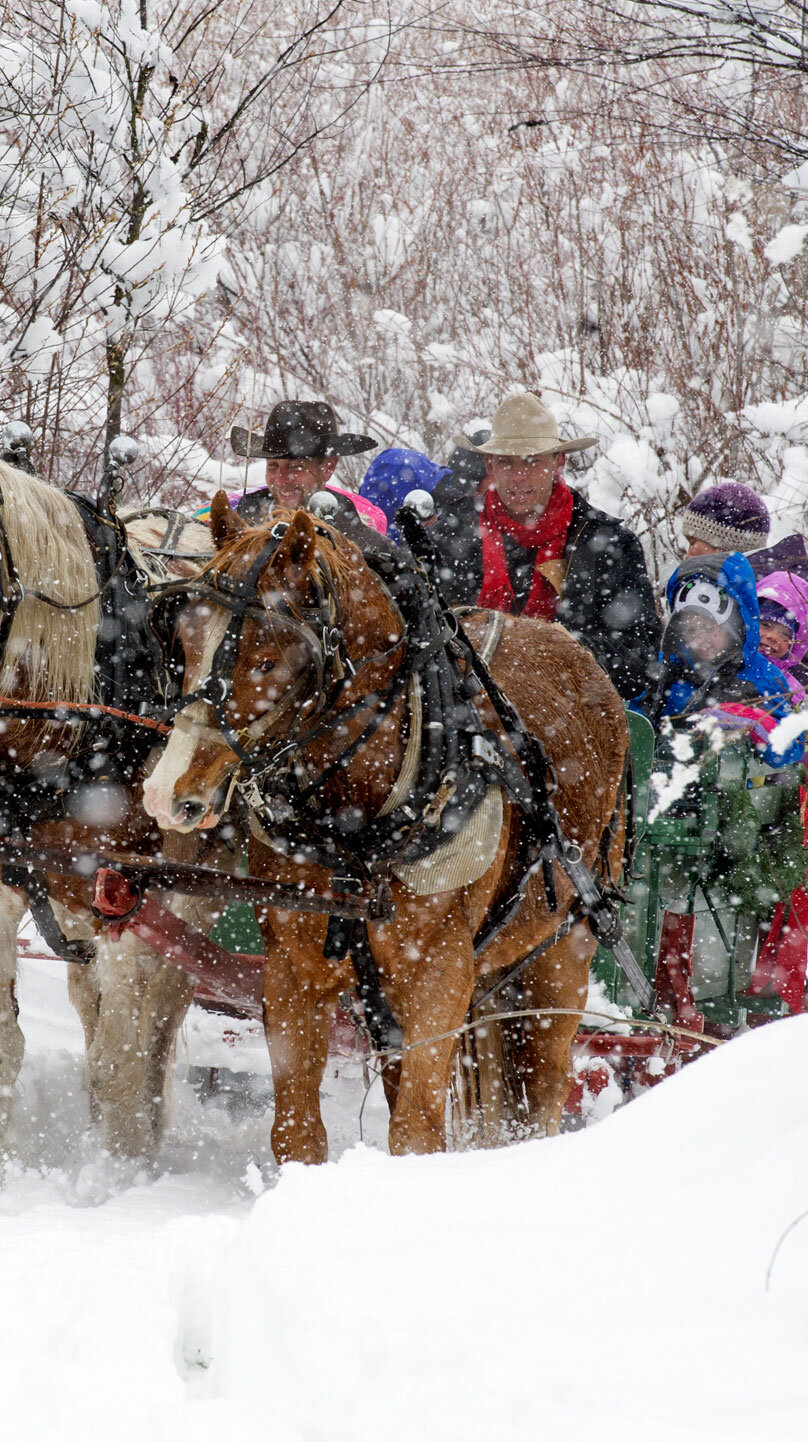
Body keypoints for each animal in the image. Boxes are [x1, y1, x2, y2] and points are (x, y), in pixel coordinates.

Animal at [143, 490, 629, 1161]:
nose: (167, 795)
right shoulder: (294, 970)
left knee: (543, 1093)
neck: (359, 823)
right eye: (185, 645)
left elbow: (417, 1134)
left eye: (265, 660)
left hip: (561, 958)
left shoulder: (439, 978)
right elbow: (297, 1130)